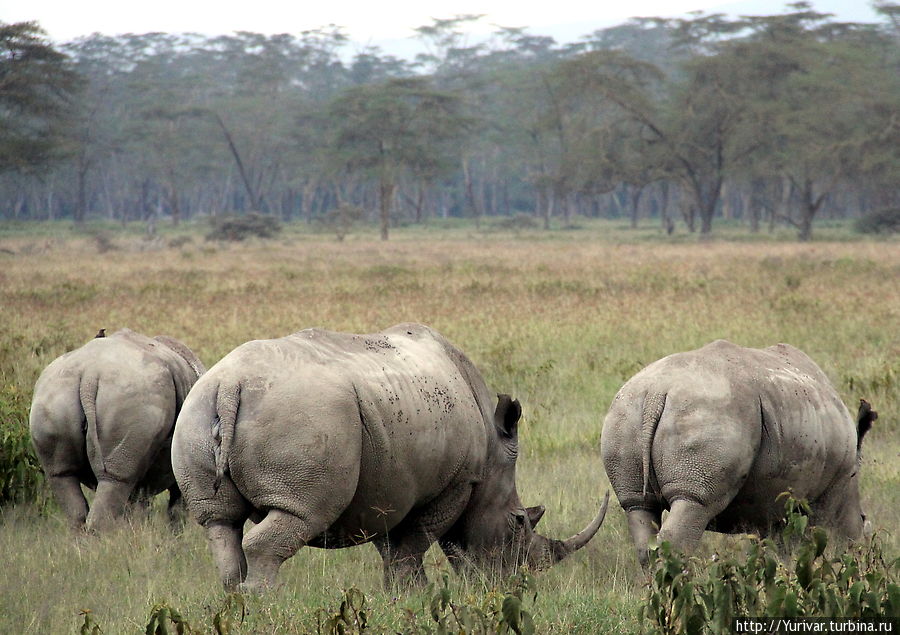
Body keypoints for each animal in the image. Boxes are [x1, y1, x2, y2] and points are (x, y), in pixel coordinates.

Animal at [29, 328, 204, 532]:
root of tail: (89, 375)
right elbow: (175, 508)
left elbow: (138, 507)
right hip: (132, 399)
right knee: (114, 480)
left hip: (53, 395)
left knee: (62, 476)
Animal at [172, 326, 608, 592]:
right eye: (518, 523)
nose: (514, 585)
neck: (491, 449)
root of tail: (231, 385)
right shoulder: (456, 483)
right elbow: (415, 545)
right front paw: (413, 595)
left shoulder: (390, 485)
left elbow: (393, 545)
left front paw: (403, 596)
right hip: (305, 416)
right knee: (299, 515)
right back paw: (267, 602)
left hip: (198, 410)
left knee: (219, 523)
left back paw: (236, 599)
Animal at [600, 340, 876, 568]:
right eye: (863, 521)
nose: (861, 550)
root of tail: (657, 392)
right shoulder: (826, 493)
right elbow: (807, 543)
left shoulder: (771, 502)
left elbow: (775, 550)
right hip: (711, 413)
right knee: (694, 502)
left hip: (624, 413)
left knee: (638, 506)